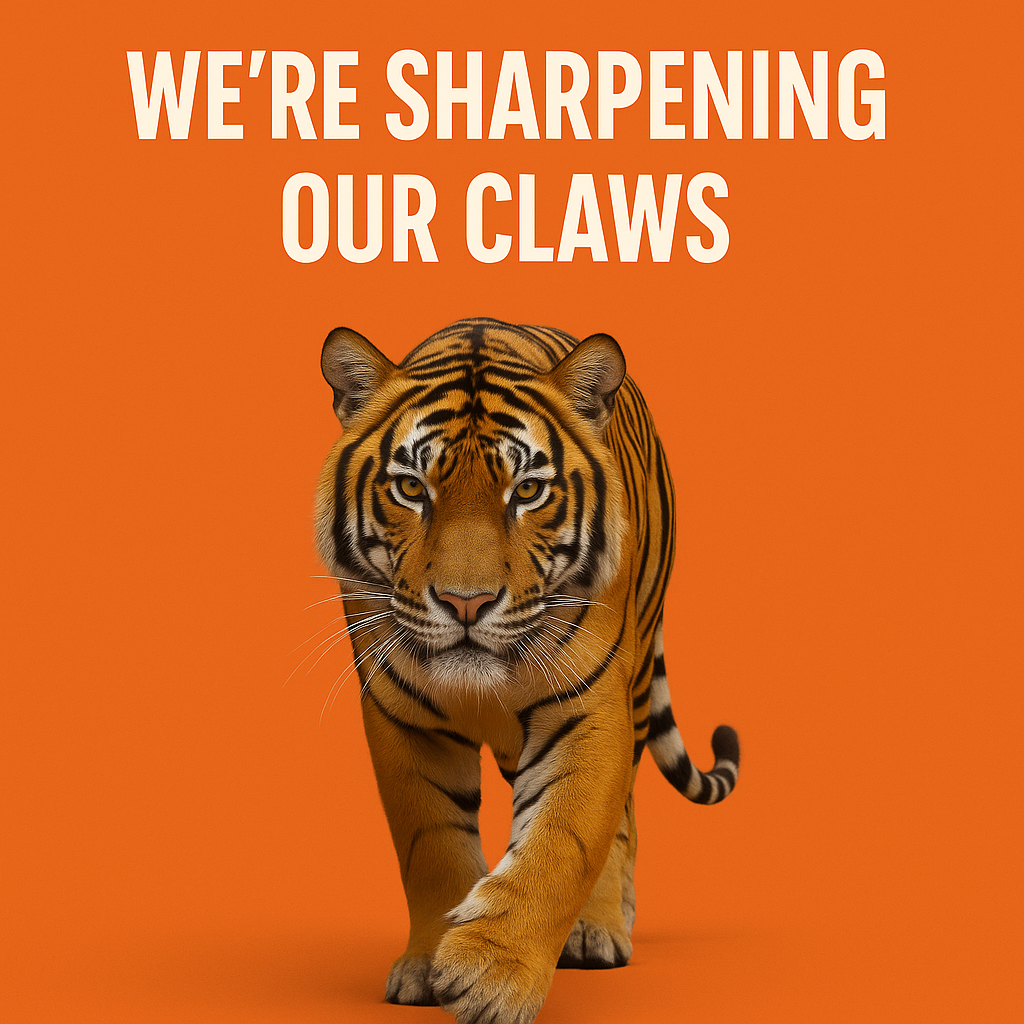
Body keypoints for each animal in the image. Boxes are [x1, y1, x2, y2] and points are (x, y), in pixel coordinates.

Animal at [315, 317, 739, 1024]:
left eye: (529, 492)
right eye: (412, 489)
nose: (466, 602)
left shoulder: (589, 707)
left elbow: (563, 839)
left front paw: (493, 977)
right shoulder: (400, 717)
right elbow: (431, 842)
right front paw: (428, 965)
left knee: (621, 818)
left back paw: (598, 931)